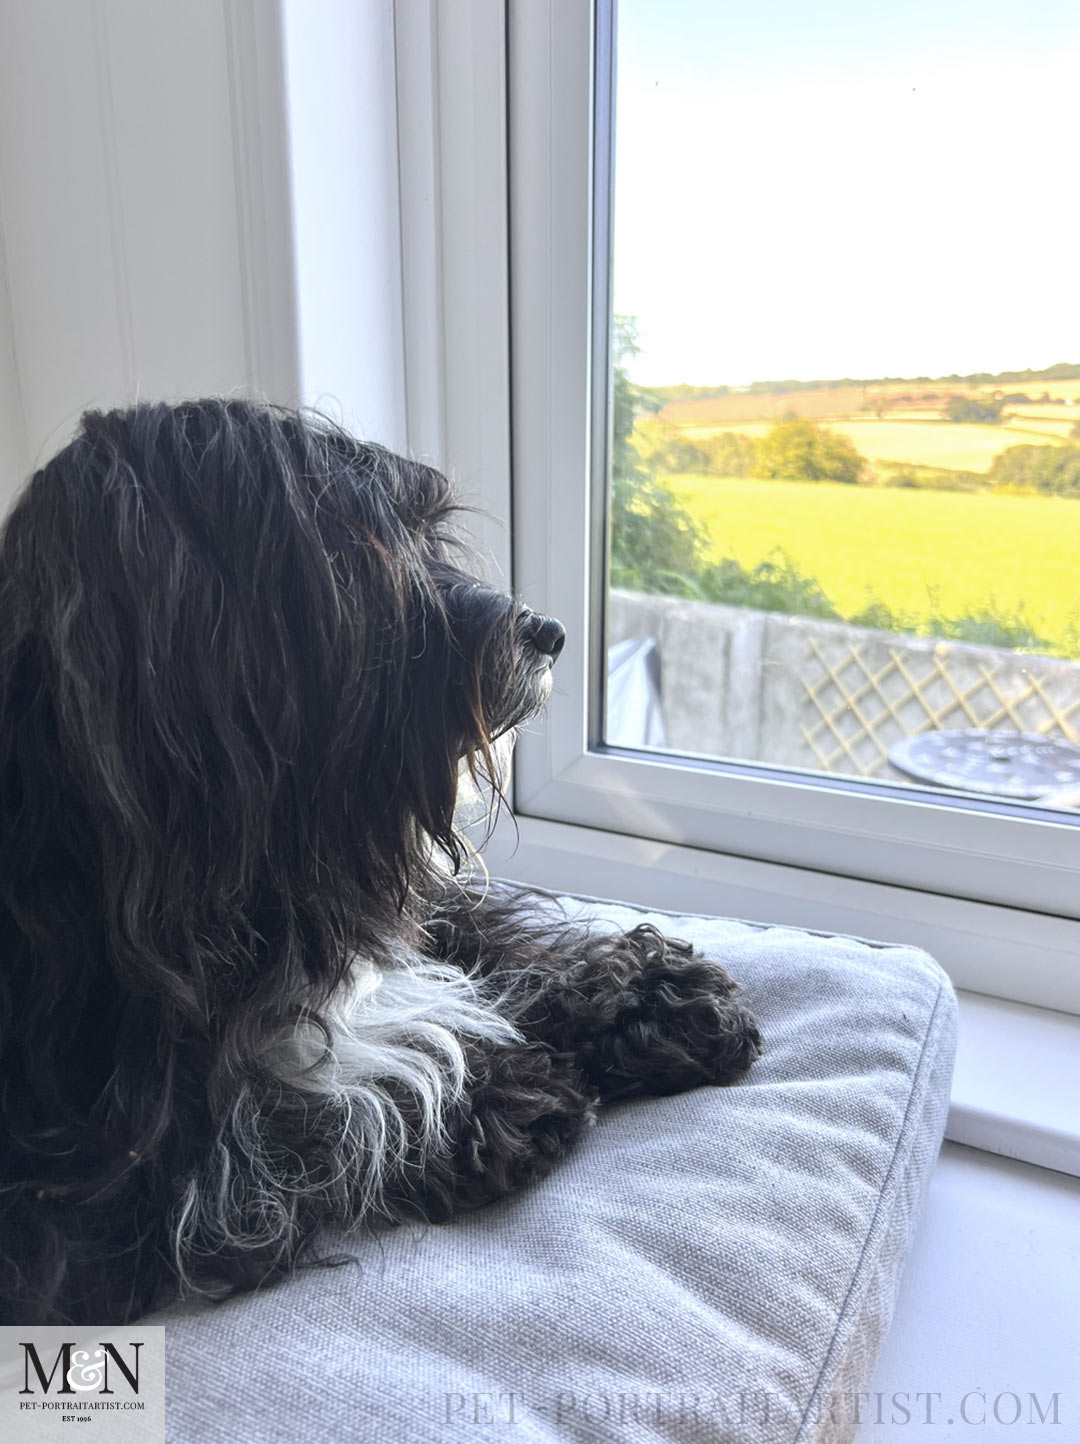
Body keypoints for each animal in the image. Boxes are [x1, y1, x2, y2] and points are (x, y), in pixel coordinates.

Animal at [0, 395, 756, 1322]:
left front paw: (651, 994)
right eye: (366, 555)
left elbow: (474, 941)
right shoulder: (95, 1164)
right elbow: (269, 1109)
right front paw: (475, 1092)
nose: (547, 631)